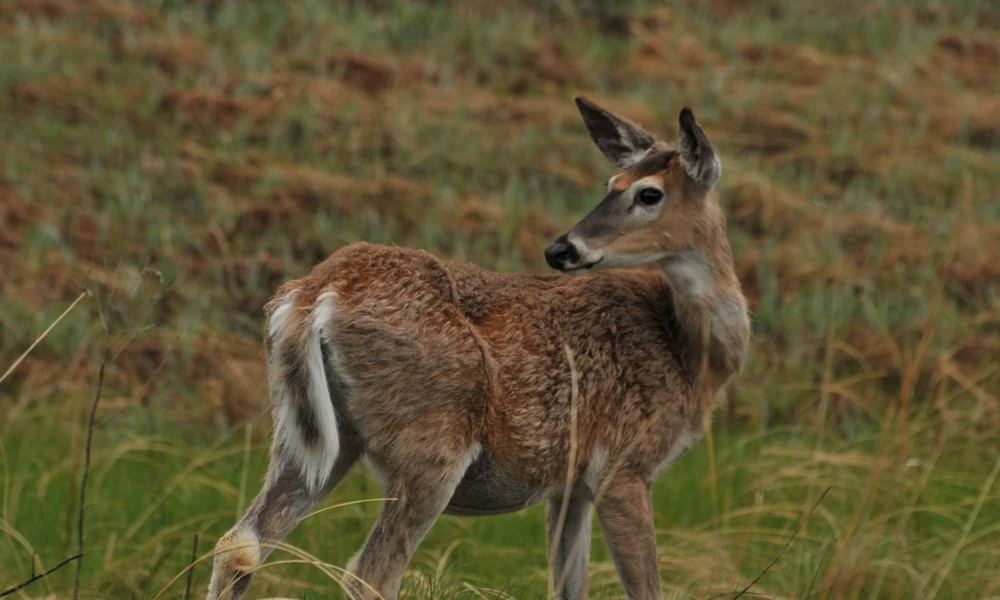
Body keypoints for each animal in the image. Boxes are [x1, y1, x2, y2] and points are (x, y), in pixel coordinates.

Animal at [206, 97, 751, 600]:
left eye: (648, 192)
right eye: (612, 186)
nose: (561, 248)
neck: (689, 354)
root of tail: (316, 292)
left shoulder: (571, 484)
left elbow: (569, 586)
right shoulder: (625, 465)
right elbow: (645, 588)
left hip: (314, 434)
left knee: (241, 543)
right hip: (433, 435)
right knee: (371, 571)